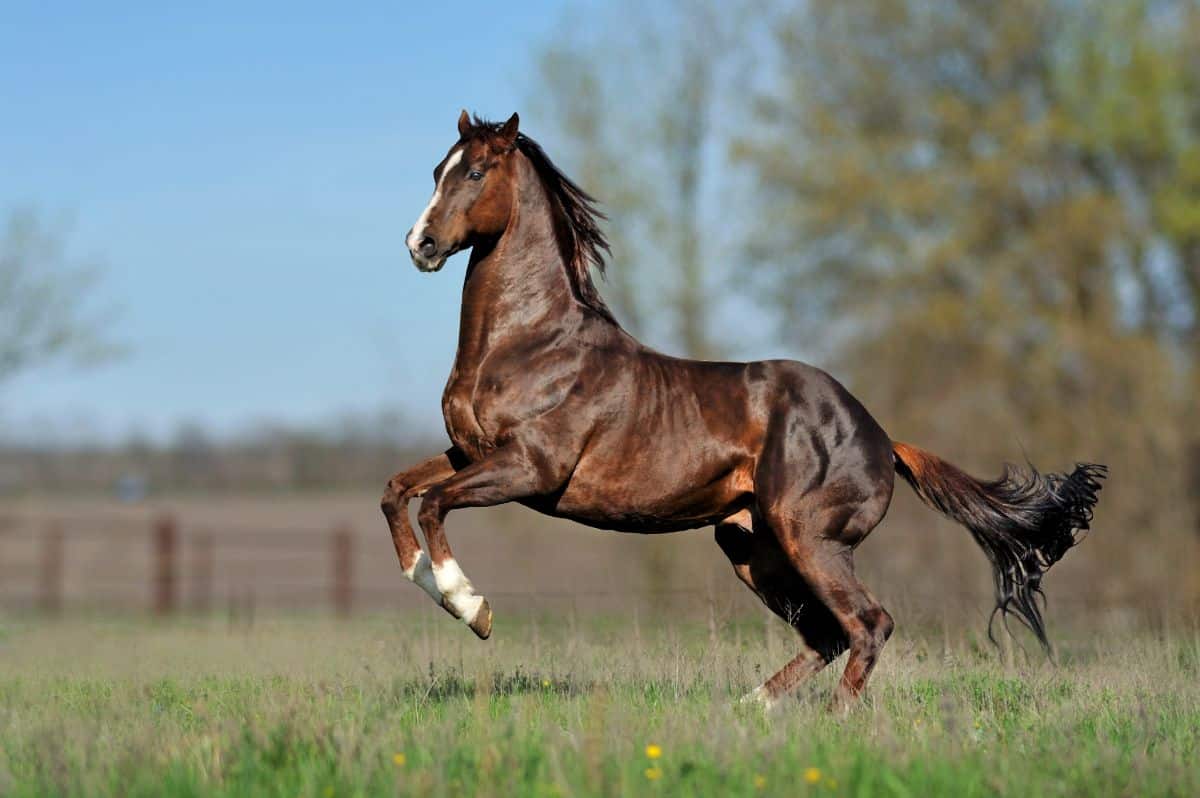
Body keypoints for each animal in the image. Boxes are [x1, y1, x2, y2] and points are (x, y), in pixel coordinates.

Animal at [384, 110, 1104, 710]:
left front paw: (471, 608)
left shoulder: (530, 469)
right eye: (436, 171)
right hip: (751, 547)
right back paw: (751, 708)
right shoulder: (470, 453)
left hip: (809, 538)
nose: (419, 245)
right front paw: (427, 580)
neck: (532, 343)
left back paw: (834, 721)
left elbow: (435, 503)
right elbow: (398, 491)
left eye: (476, 172)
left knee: (869, 624)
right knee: (827, 636)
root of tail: (883, 438)